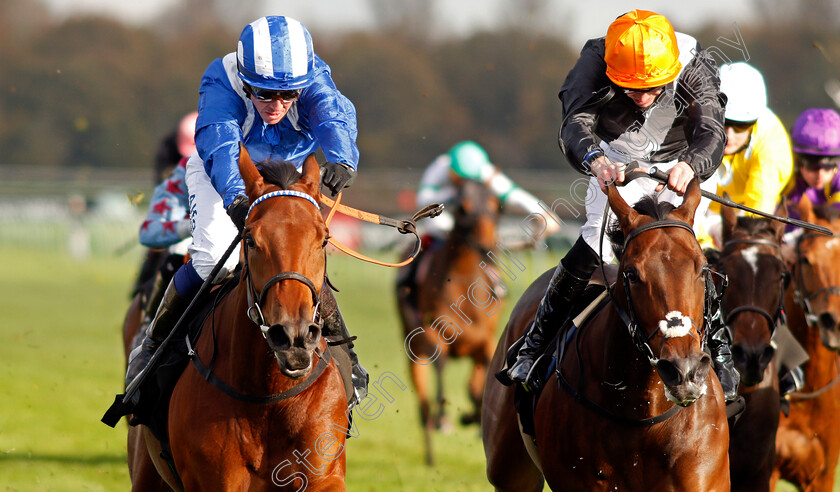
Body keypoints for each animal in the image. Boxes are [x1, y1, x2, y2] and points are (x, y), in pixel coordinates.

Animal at [125, 148, 348, 490]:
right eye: (251, 239)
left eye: (324, 239)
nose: (293, 337)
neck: (267, 397)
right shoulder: (212, 480)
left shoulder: (324, 472)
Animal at [398, 177, 502, 466]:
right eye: (462, 206)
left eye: (495, 203)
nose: (488, 244)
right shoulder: (434, 332)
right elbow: (442, 365)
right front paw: (446, 419)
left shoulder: (486, 341)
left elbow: (476, 387)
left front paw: (473, 418)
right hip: (414, 352)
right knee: (423, 408)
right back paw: (431, 454)